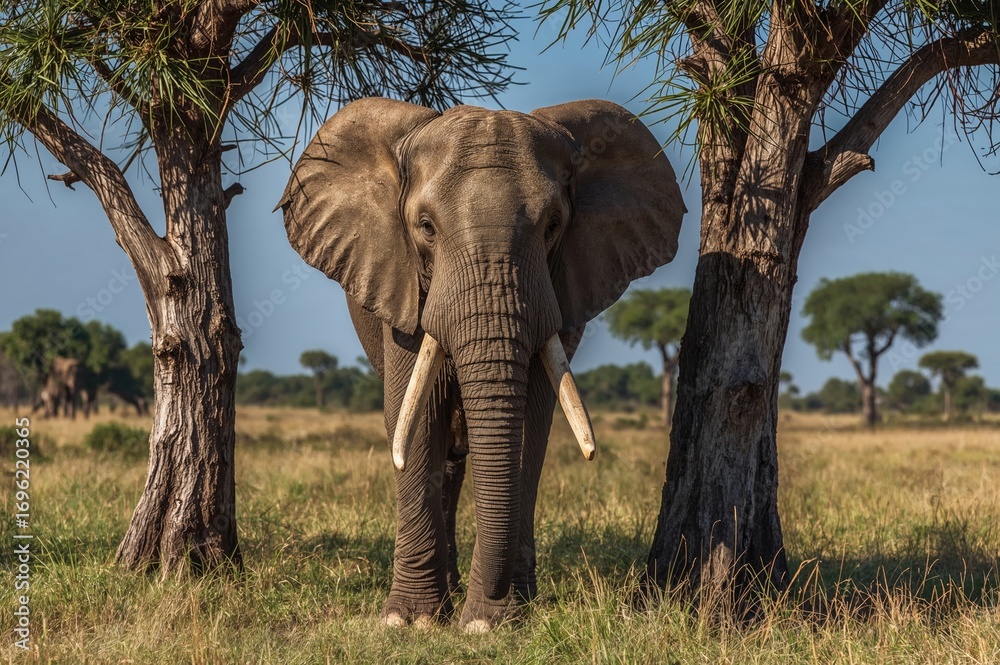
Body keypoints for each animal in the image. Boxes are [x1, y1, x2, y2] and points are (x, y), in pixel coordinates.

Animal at [278, 97, 685, 631]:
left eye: (553, 225)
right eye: (425, 227)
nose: (488, 608)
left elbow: (530, 420)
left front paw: (494, 620)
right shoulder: (401, 284)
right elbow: (415, 417)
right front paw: (410, 621)